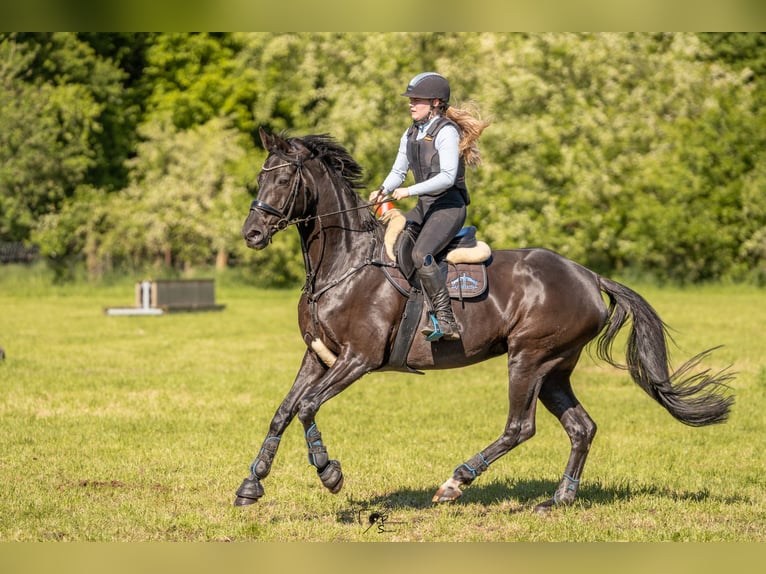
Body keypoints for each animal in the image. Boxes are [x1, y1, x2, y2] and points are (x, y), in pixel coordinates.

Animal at [237, 129, 736, 512]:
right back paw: (559, 500)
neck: (346, 262)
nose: (253, 234)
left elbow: (306, 406)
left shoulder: (358, 358)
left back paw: (455, 482)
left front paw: (330, 473)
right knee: (581, 427)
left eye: (284, 177)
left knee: (520, 427)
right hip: (554, 368)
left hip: (528, 358)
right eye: (260, 177)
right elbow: (283, 411)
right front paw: (251, 485)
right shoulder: (320, 356)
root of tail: (588, 275)